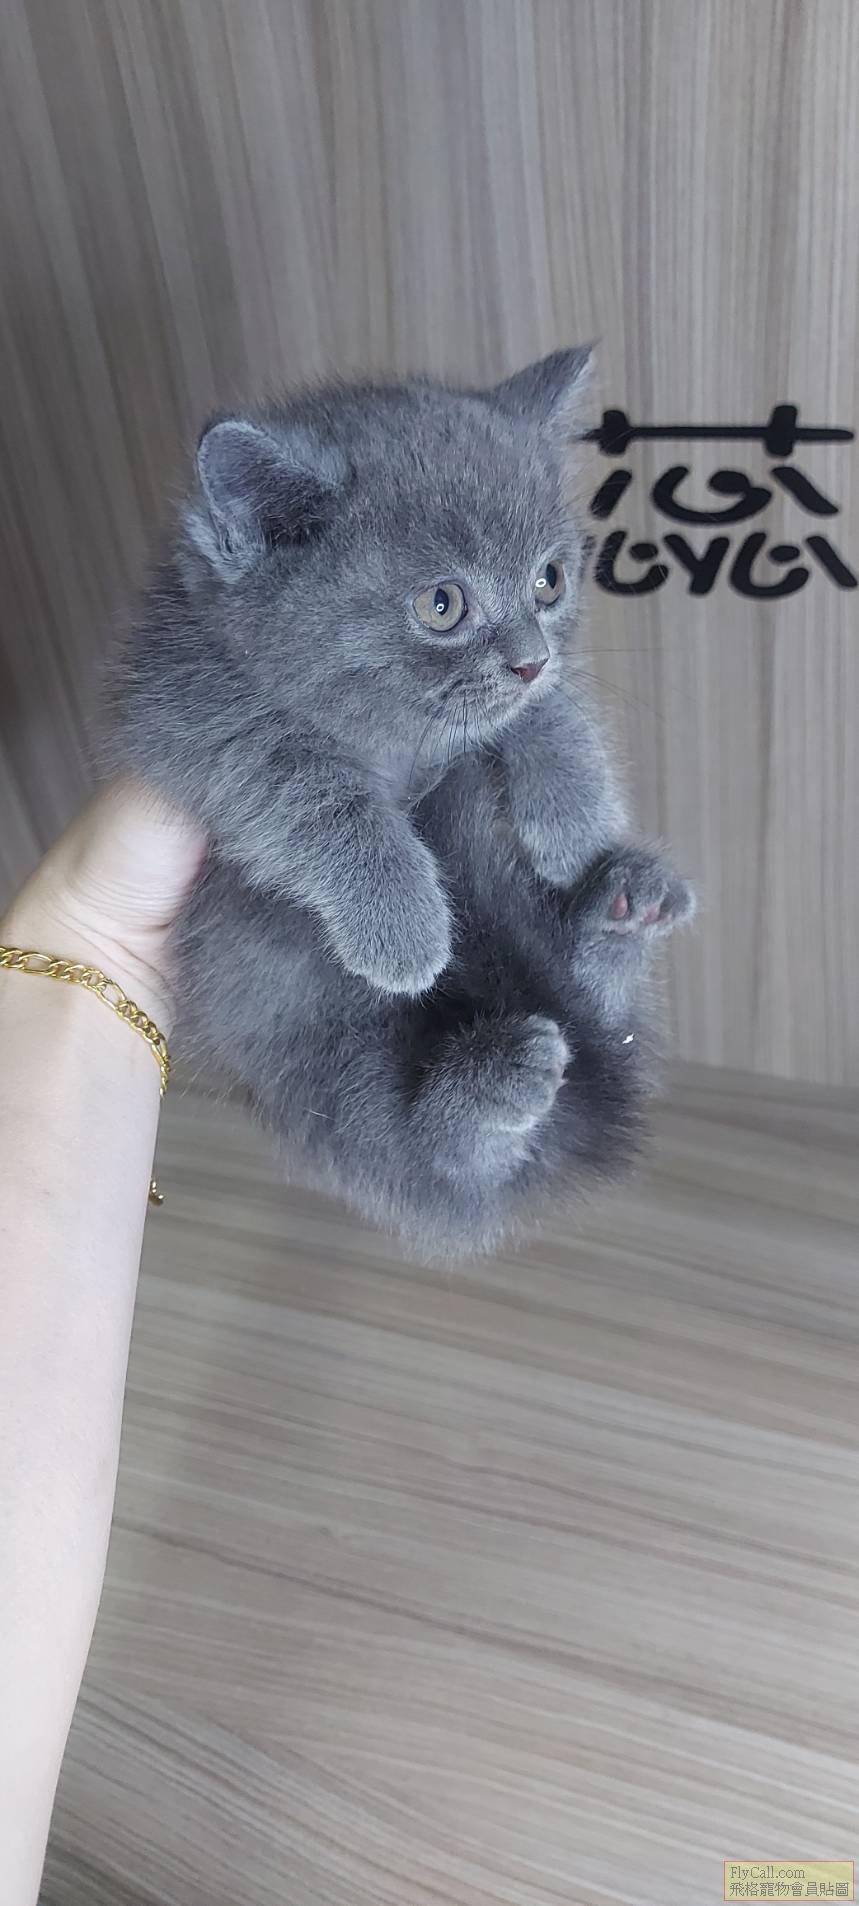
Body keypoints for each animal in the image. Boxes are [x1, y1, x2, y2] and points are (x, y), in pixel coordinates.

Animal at [109, 348, 694, 1259]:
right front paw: (403, 923)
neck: (401, 739)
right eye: (440, 604)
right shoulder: (193, 715)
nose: (527, 657)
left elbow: (543, 712)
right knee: (419, 1150)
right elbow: (308, 785)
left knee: (593, 1014)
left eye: (549, 580)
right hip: (314, 1054)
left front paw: (573, 814)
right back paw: (496, 1083)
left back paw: (621, 912)